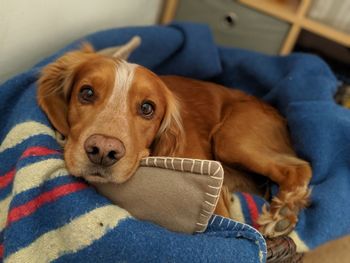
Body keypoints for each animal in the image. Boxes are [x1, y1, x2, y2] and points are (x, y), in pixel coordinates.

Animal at [37, 44, 312, 238]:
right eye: (86, 93)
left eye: (147, 108)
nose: (103, 150)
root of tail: (279, 114)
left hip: (231, 139)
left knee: (300, 168)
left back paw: (282, 215)